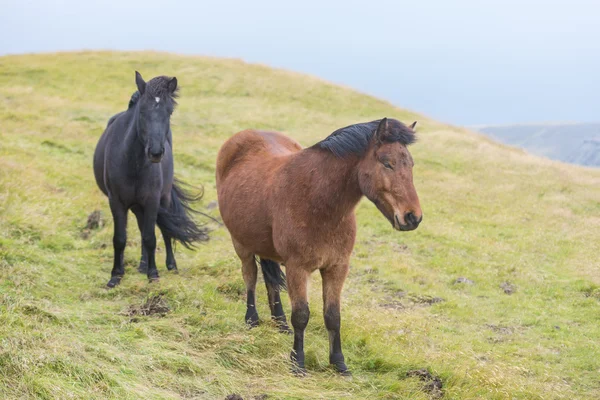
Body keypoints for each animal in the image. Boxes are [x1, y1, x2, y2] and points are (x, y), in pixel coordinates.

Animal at [92, 70, 207, 286]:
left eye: (169, 112)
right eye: (142, 112)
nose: (155, 152)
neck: (133, 164)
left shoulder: (152, 200)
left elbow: (151, 237)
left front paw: (153, 274)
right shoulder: (116, 201)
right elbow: (120, 238)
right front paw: (116, 276)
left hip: (162, 199)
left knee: (163, 230)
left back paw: (170, 265)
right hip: (137, 206)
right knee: (142, 226)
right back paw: (142, 265)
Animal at [216, 117, 422, 374]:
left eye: (410, 164)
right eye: (387, 163)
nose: (413, 217)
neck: (316, 200)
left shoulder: (337, 267)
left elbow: (333, 316)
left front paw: (339, 364)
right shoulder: (297, 268)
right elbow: (301, 315)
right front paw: (298, 362)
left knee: (270, 282)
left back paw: (280, 324)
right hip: (241, 244)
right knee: (250, 277)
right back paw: (251, 319)